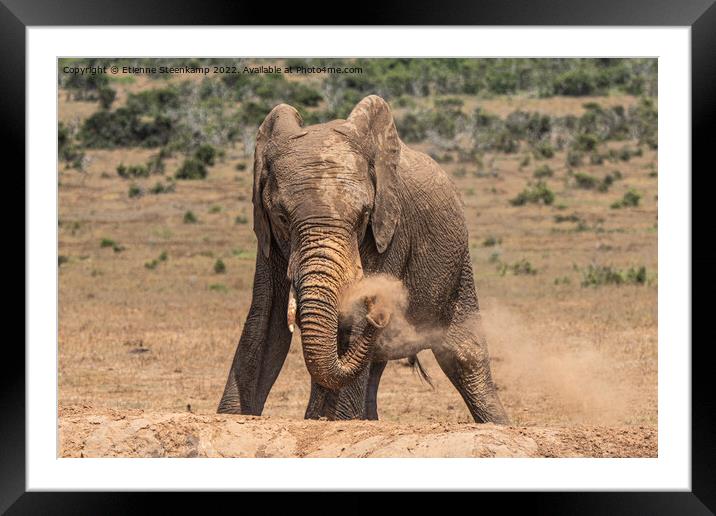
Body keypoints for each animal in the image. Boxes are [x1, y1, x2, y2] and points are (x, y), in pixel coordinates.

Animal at [218, 93, 510, 424]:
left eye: (364, 216)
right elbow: (265, 323)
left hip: (459, 264)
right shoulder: (267, 239)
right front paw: (234, 416)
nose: (380, 309)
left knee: (462, 355)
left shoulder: (390, 229)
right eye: (281, 217)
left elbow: (352, 325)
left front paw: (332, 421)